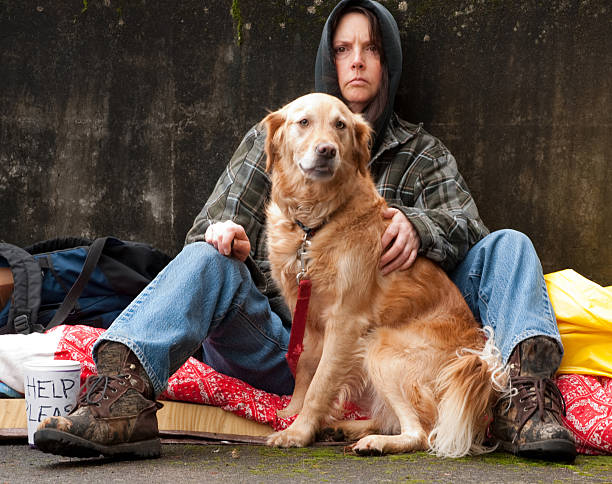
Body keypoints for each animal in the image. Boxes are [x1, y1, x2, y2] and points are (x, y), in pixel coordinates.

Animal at [262, 93, 506, 458]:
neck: (313, 224)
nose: (327, 150)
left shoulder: (345, 320)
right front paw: (291, 413)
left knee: (422, 433)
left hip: (381, 346)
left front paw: (298, 431)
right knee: (394, 420)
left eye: (340, 125)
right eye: (303, 122)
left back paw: (373, 442)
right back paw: (343, 427)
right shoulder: (305, 312)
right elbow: (305, 369)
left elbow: (321, 382)